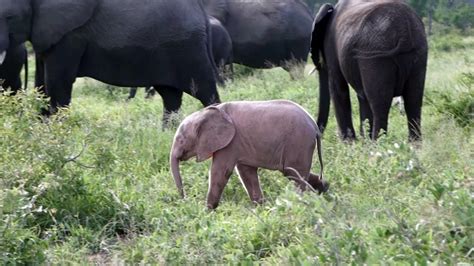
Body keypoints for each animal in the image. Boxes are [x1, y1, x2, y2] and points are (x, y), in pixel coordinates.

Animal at [0, 0, 220, 119]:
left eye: (9, 17)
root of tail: (201, 11)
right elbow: (42, 83)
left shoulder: (71, 34)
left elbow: (57, 82)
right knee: (170, 96)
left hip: (189, 47)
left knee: (206, 92)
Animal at [170, 100, 330, 210]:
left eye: (181, 140)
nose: (184, 199)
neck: (206, 112)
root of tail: (315, 127)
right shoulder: (237, 145)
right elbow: (245, 172)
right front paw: (261, 208)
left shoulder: (230, 143)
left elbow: (219, 172)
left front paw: (207, 212)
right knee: (297, 174)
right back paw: (324, 189)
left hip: (298, 142)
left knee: (294, 174)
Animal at [312, 0, 428, 141]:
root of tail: (404, 31)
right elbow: (362, 95)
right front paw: (362, 141)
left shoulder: (331, 46)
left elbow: (338, 88)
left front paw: (351, 143)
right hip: (418, 52)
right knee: (413, 101)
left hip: (376, 56)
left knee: (380, 105)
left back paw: (378, 144)